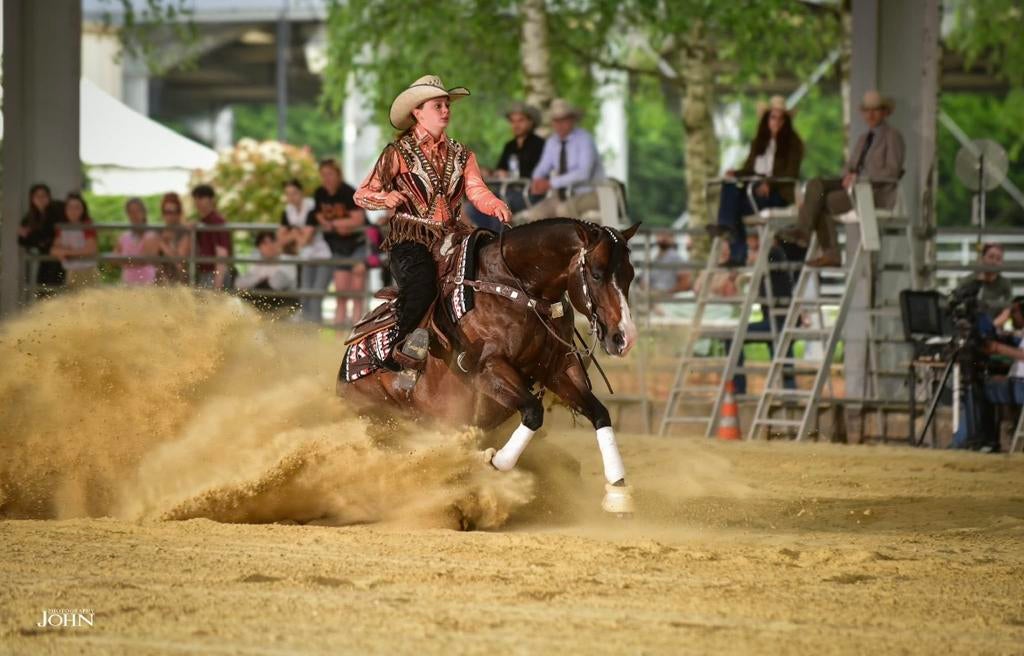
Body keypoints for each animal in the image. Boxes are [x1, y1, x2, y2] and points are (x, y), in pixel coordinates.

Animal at [338, 218, 641, 514]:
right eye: (597, 274)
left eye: (630, 275)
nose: (624, 338)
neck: (518, 292)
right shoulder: (490, 370)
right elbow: (533, 412)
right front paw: (495, 463)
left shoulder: (558, 370)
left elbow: (600, 413)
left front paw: (618, 492)